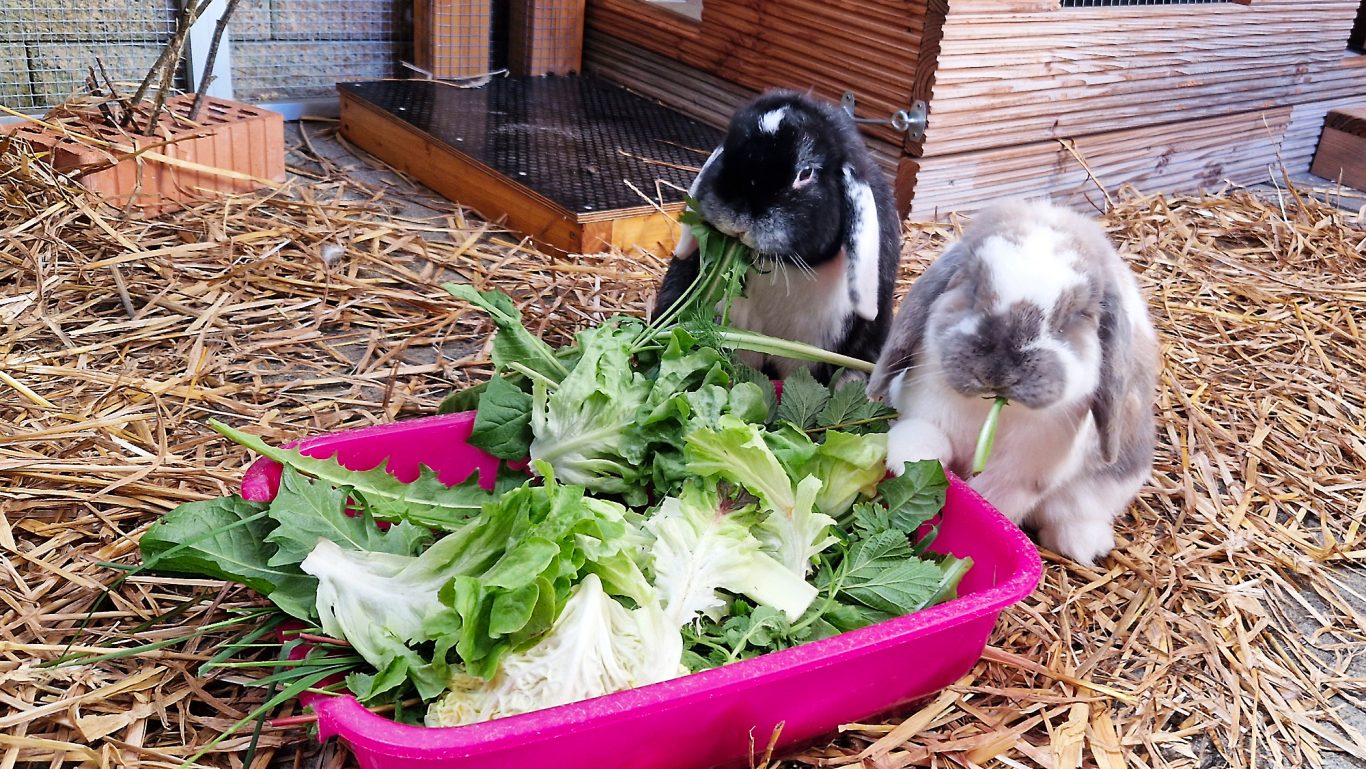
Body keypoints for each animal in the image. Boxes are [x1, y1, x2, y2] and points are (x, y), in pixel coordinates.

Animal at [867, 199, 1159, 566]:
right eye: (973, 288)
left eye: (1072, 316)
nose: (1000, 370)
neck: (988, 413)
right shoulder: (922, 411)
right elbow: (922, 439)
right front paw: (906, 462)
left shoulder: (1021, 474)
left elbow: (995, 496)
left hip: (1104, 486)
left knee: (1071, 513)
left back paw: (1084, 545)